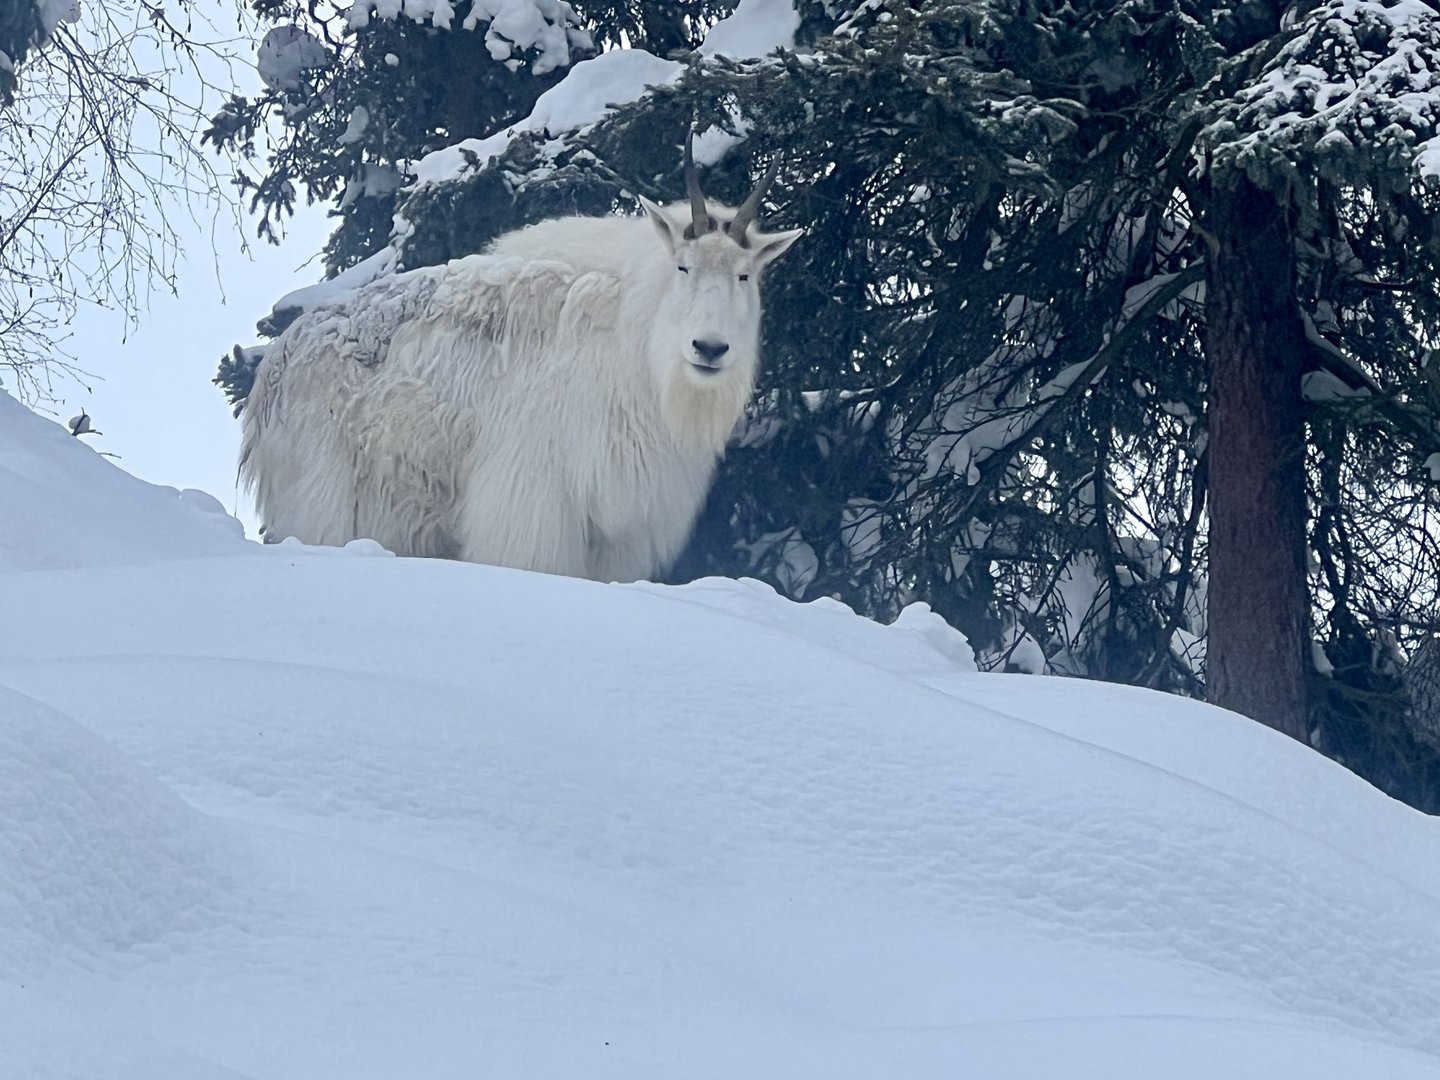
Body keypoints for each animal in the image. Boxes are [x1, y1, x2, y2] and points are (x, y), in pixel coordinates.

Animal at [239, 139, 801, 581]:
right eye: (684, 267)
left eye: (745, 275)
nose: (709, 349)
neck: (637, 345)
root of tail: (273, 369)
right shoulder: (535, 496)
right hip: (323, 494)